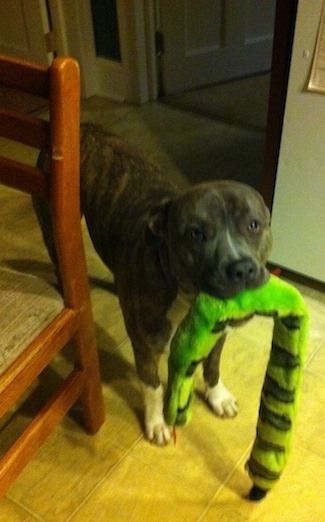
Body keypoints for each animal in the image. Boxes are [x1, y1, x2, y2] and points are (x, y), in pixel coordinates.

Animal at [33, 122, 270, 442]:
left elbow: (212, 366)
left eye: (253, 225)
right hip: (53, 229)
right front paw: (157, 423)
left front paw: (218, 396)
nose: (242, 268)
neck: (187, 296)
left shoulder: (218, 334)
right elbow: (154, 386)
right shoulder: (146, 346)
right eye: (195, 234)